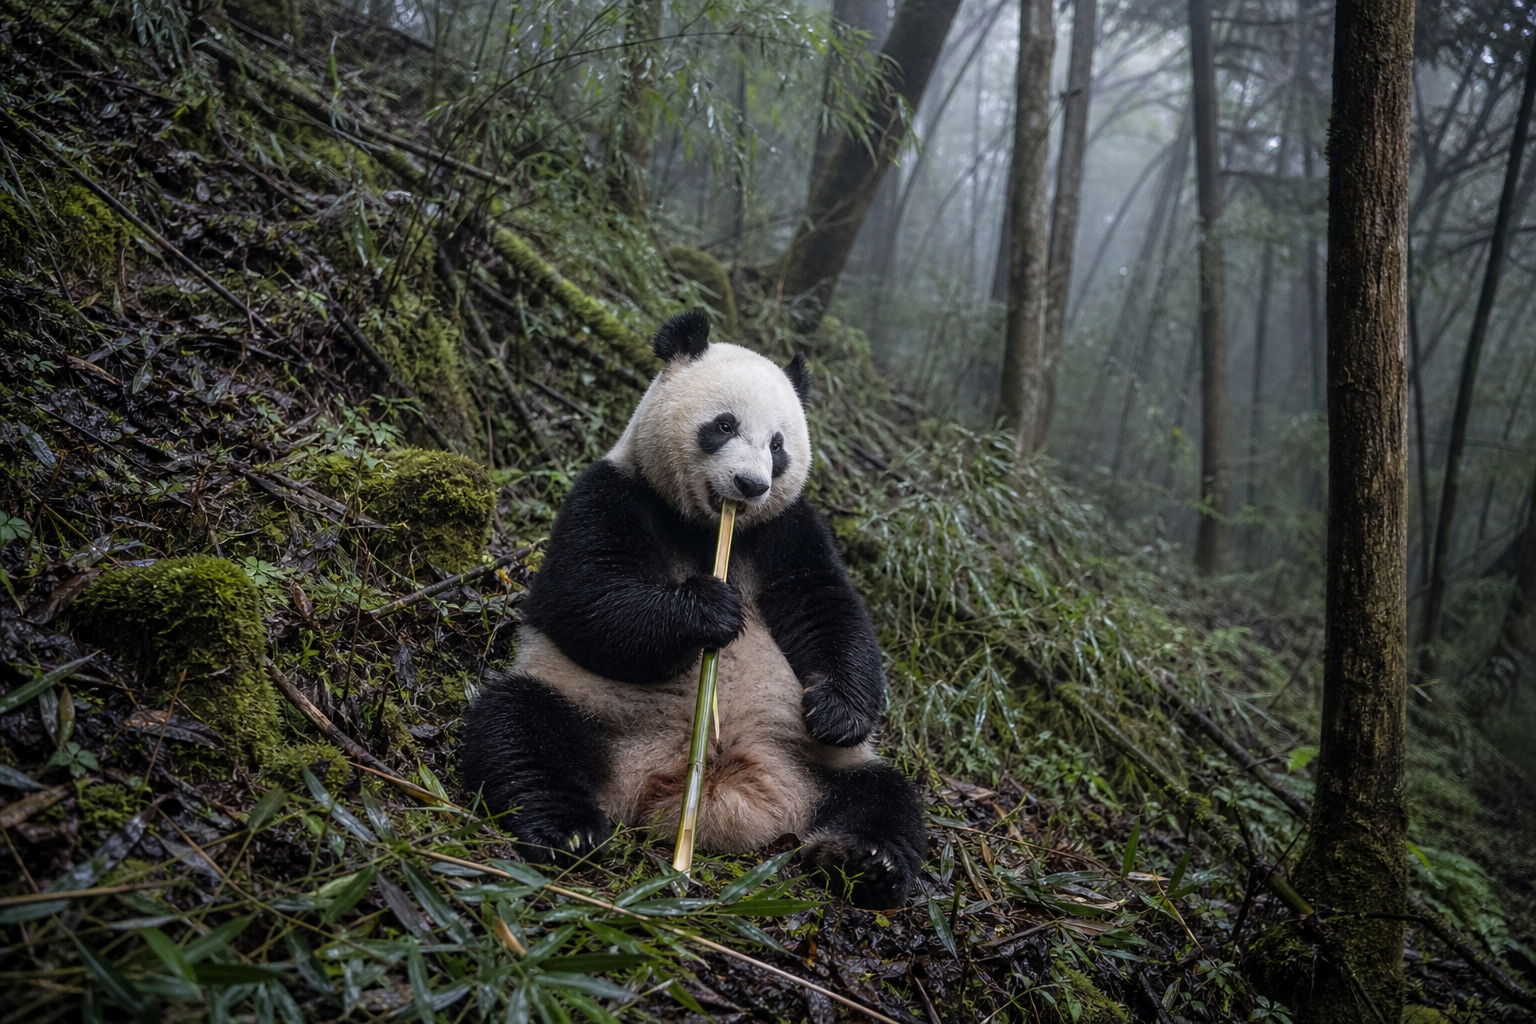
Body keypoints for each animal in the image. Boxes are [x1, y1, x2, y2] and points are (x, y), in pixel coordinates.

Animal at [458, 310, 925, 909]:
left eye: (778, 445)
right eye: (724, 425)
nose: (750, 485)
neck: (709, 527)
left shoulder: (788, 528)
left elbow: (826, 608)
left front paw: (837, 712)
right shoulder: (612, 492)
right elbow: (584, 596)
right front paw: (709, 611)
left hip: (812, 760)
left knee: (887, 797)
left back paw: (868, 862)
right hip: (591, 707)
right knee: (520, 729)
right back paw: (568, 829)